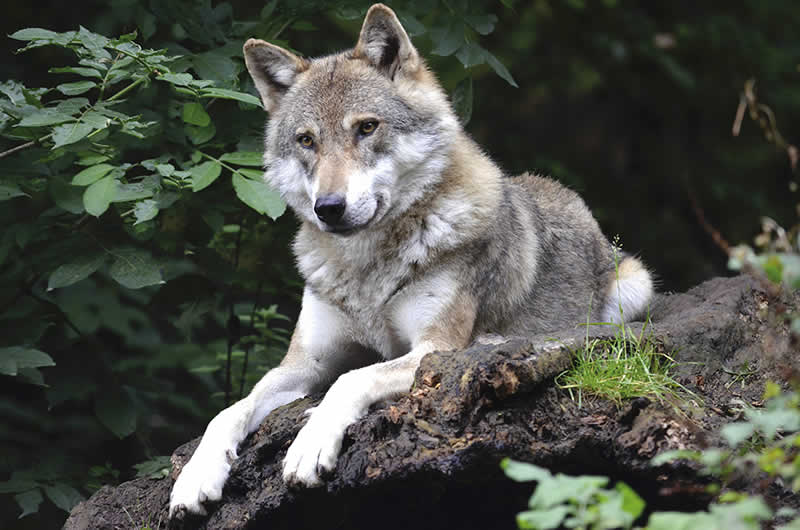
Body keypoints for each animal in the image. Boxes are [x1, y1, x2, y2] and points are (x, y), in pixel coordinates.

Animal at [169, 3, 648, 516]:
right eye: (306, 141)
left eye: (366, 127)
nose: (328, 208)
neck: (366, 269)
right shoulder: (303, 364)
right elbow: (229, 410)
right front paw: (196, 476)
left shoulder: (431, 349)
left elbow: (351, 379)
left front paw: (309, 444)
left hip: (634, 286)